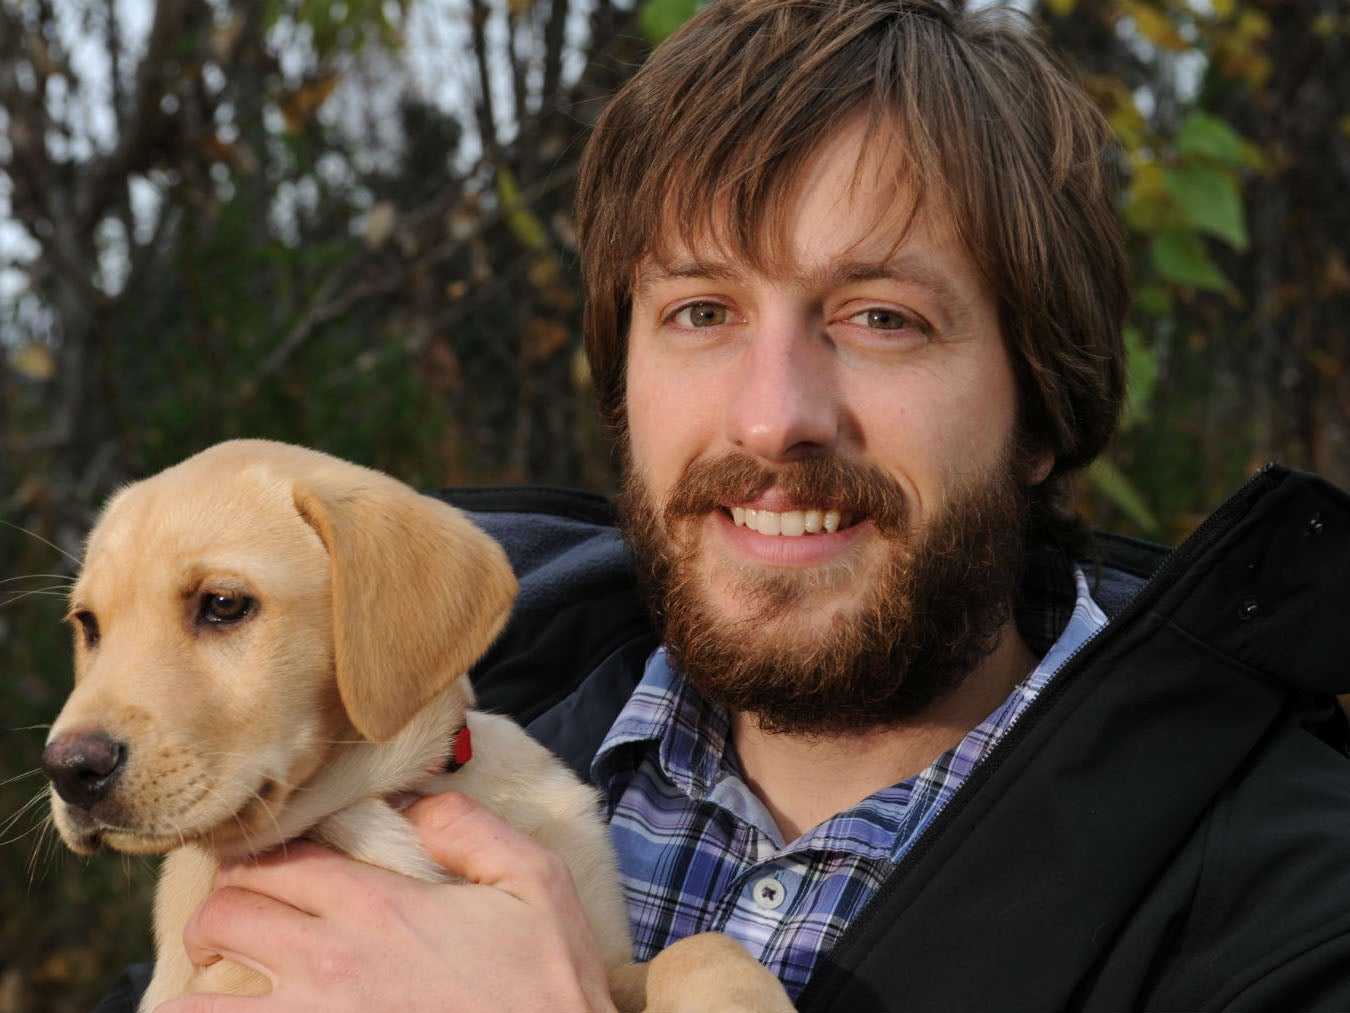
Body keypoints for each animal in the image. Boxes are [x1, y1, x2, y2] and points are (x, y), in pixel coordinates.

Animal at [47, 443, 793, 1013]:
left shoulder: (602, 957)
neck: (372, 798)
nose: (68, 769)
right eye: (88, 625)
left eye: (224, 604)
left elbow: (701, 949)